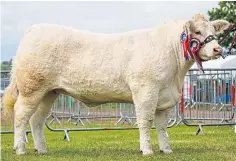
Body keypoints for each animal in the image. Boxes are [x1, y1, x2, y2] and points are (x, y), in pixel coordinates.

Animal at [2, 13, 230, 155]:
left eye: (214, 30)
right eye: (197, 32)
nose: (218, 49)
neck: (175, 75)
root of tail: (35, 29)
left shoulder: (164, 97)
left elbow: (162, 126)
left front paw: (166, 149)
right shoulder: (145, 91)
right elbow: (145, 122)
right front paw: (147, 150)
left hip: (50, 92)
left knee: (37, 120)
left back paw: (41, 149)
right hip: (31, 88)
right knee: (21, 115)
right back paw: (20, 149)